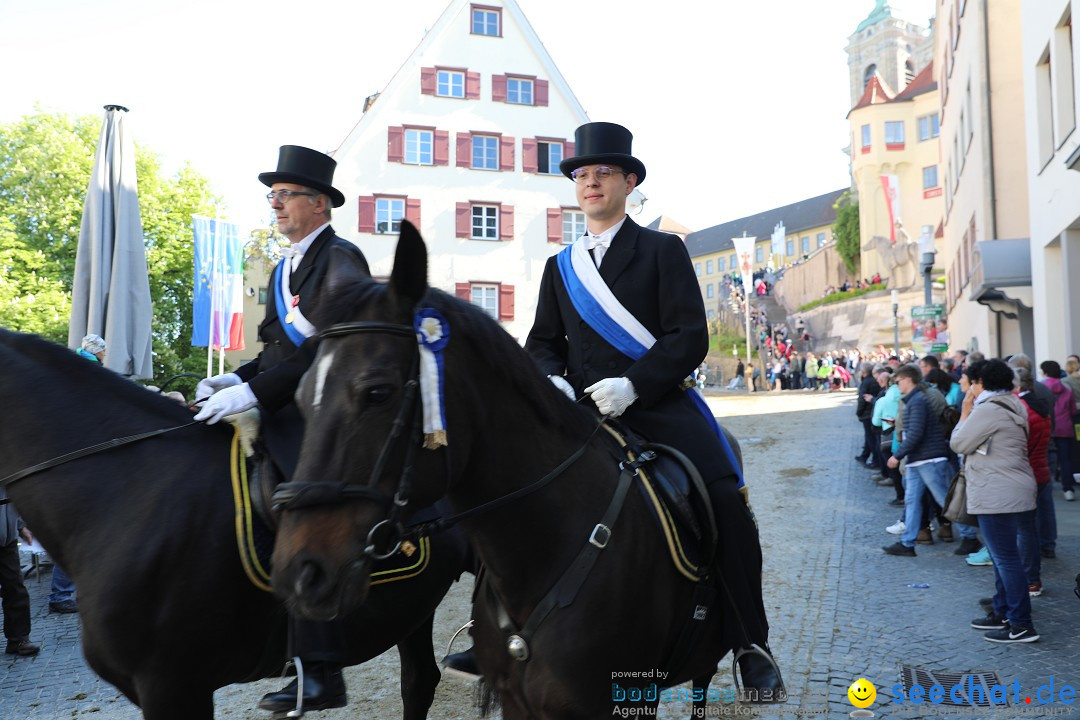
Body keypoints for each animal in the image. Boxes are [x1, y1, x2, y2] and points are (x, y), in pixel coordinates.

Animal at [272, 222, 743, 716]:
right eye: (301, 396)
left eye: (378, 392)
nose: (299, 572)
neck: (544, 548)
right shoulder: (519, 701)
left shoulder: (623, 698)